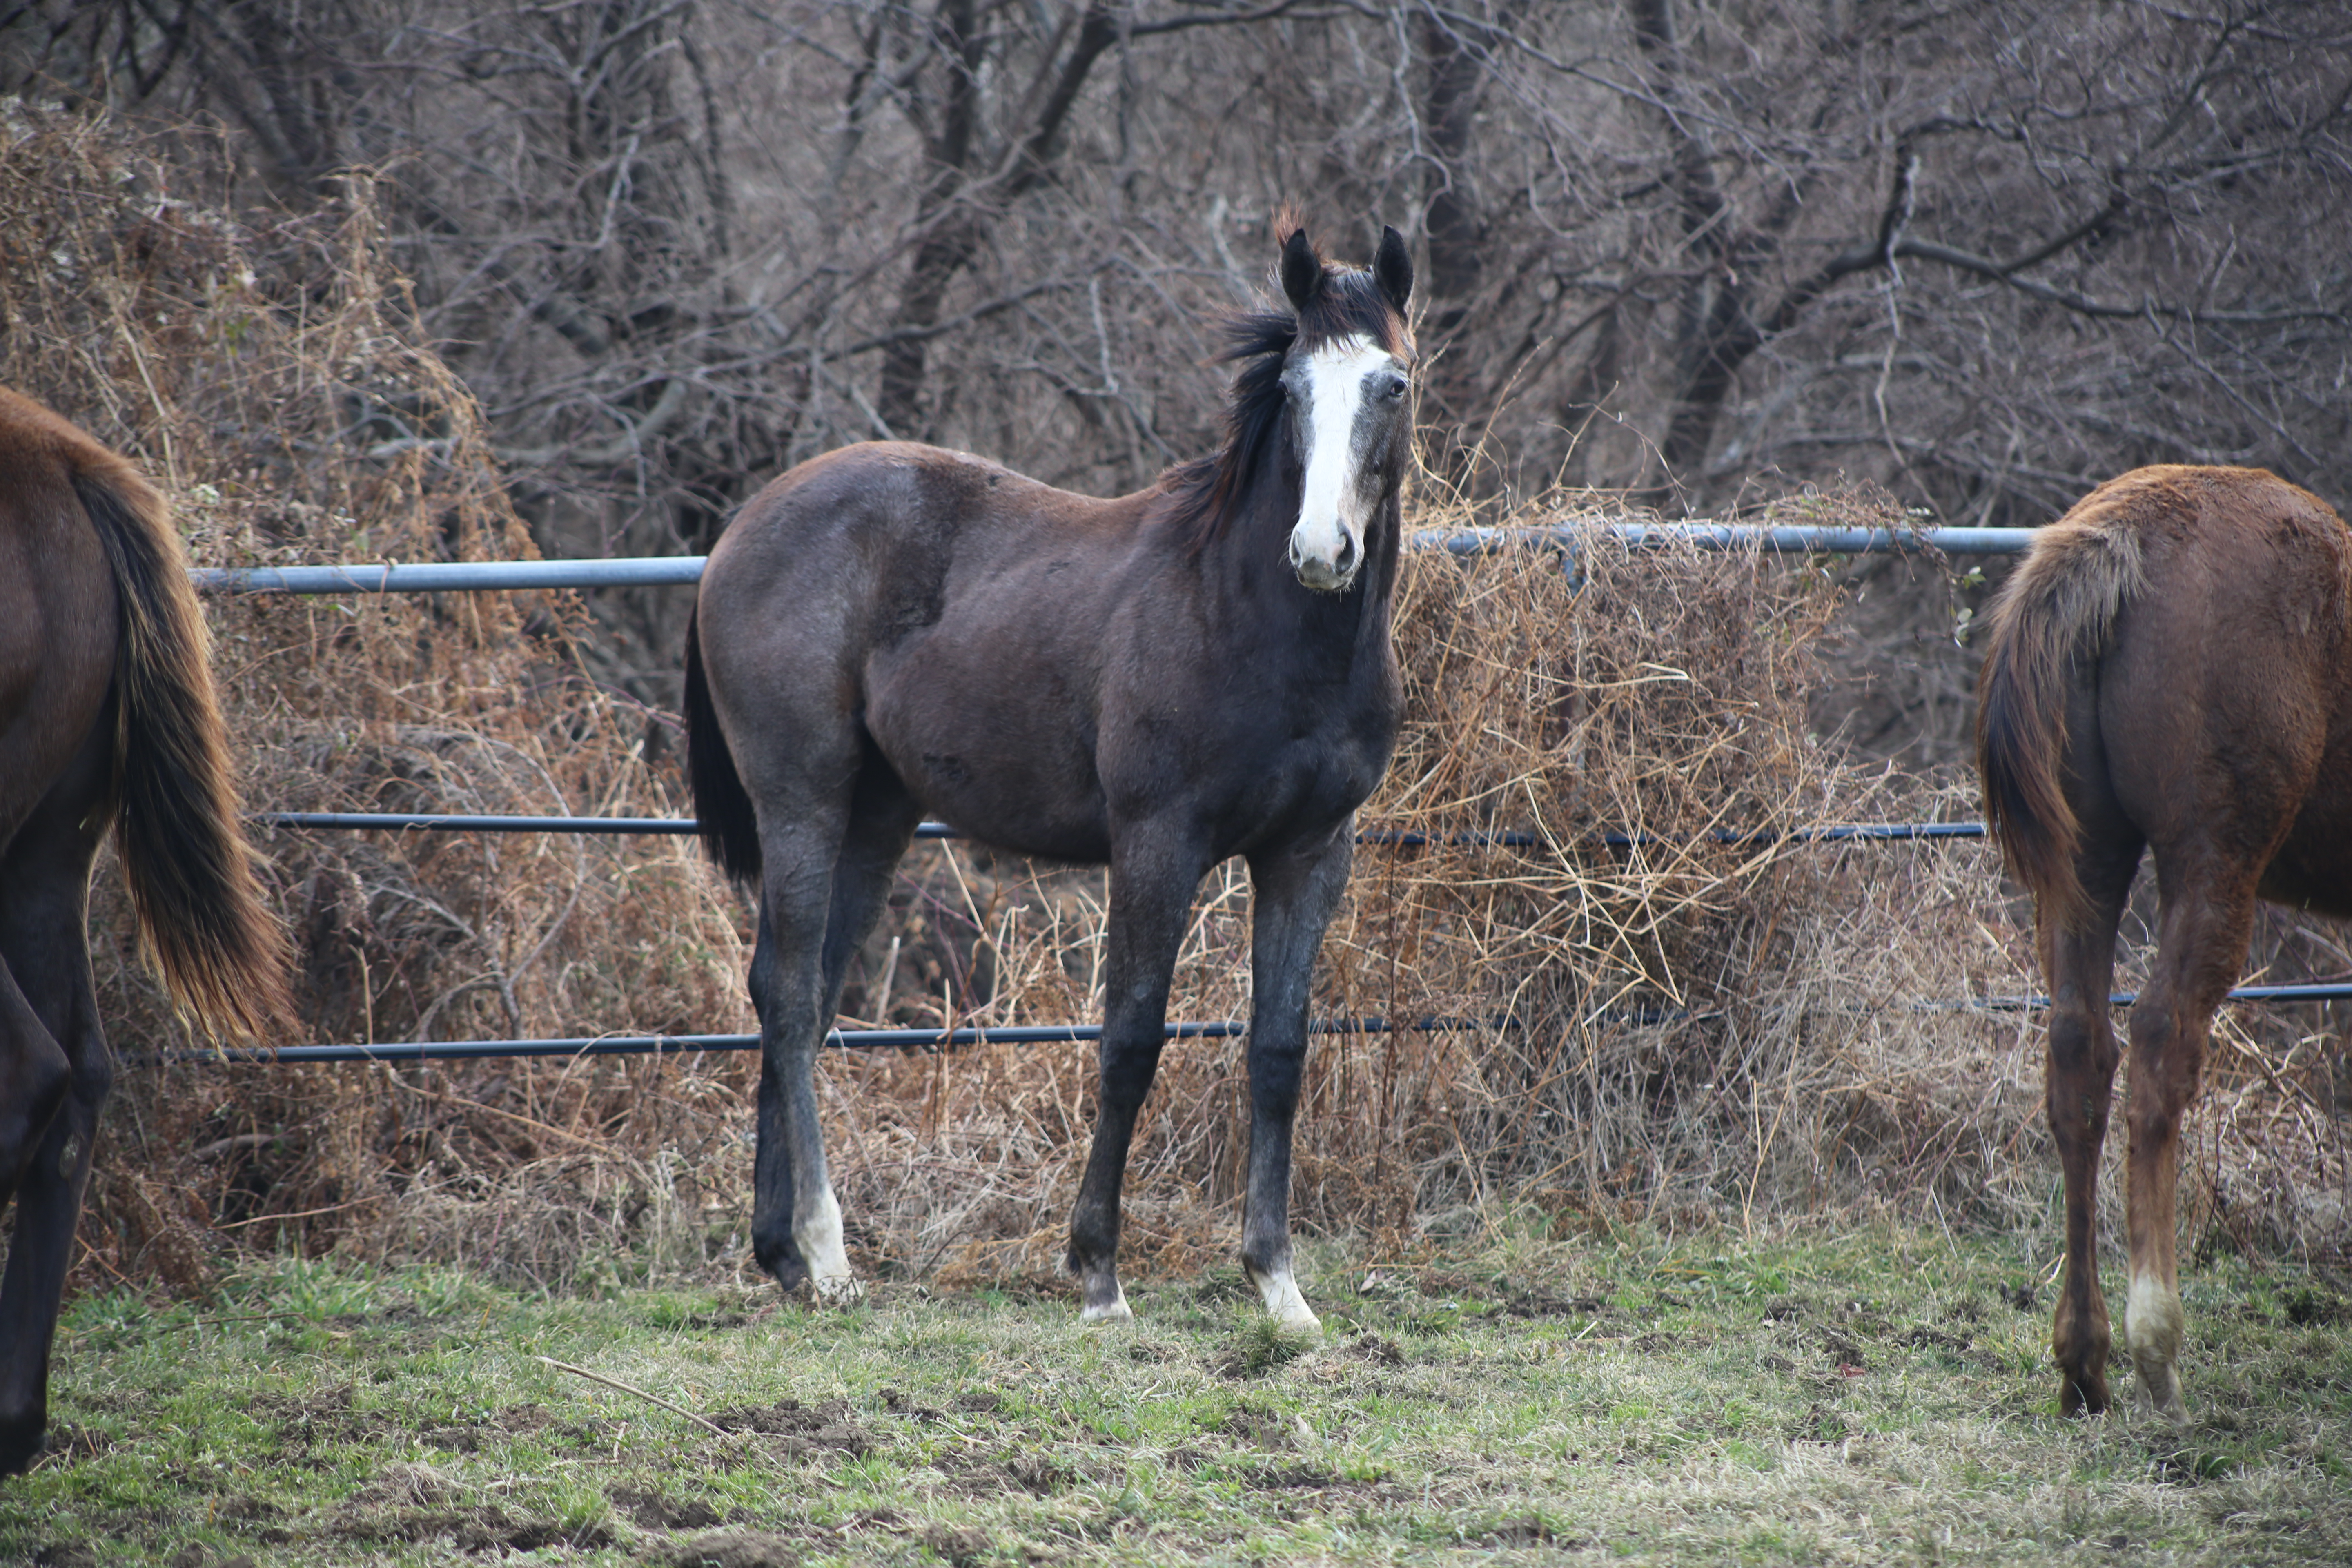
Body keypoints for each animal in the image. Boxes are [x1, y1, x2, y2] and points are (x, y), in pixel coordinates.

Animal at [682, 221, 1411, 1326]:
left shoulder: (1309, 853)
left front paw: (1279, 1285)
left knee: (798, 994)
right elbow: (1131, 1039)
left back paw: (782, 1256)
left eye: (1392, 385)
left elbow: (1279, 1051)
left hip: (876, 817)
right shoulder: (1157, 843)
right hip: (801, 799)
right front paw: (1098, 1272)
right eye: (1291, 391)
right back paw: (830, 1251)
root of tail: (737, 531)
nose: (1321, 551)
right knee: (790, 992)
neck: (1250, 620)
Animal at [1976, 463, 2352, 1420]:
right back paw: (2158, 1348)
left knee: (2080, 1054)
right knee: (2158, 1044)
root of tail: (2123, 536)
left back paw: (2085, 1362)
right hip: (2212, 863)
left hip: (2089, 861)